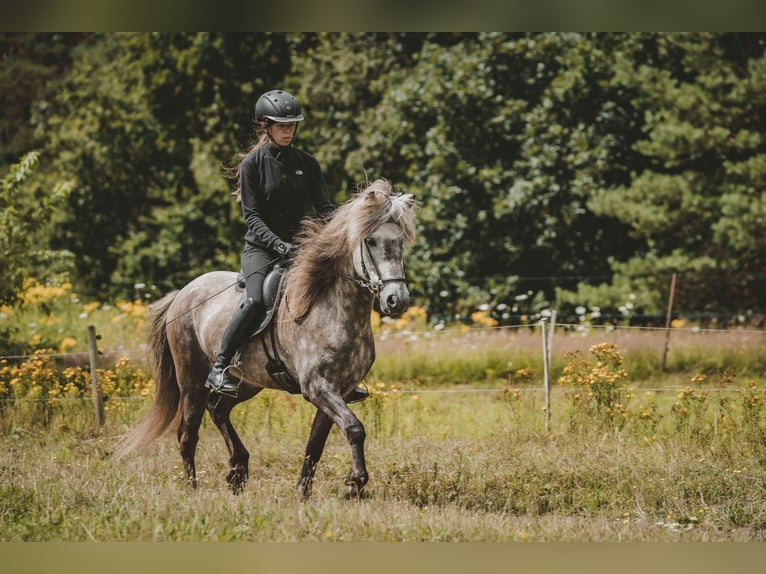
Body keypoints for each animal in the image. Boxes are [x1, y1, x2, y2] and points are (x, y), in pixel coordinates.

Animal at [117, 181, 420, 500]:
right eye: (371, 241)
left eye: (400, 242)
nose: (396, 300)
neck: (333, 310)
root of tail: (182, 294)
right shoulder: (318, 388)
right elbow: (354, 428)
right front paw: (355, 483)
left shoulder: (339, 390)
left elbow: (315, 444)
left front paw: (303, 491)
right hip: (191, 380)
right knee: (188, 434)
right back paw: (193, 489)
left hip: (246, 382)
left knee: (218, 409)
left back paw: (238, 470)